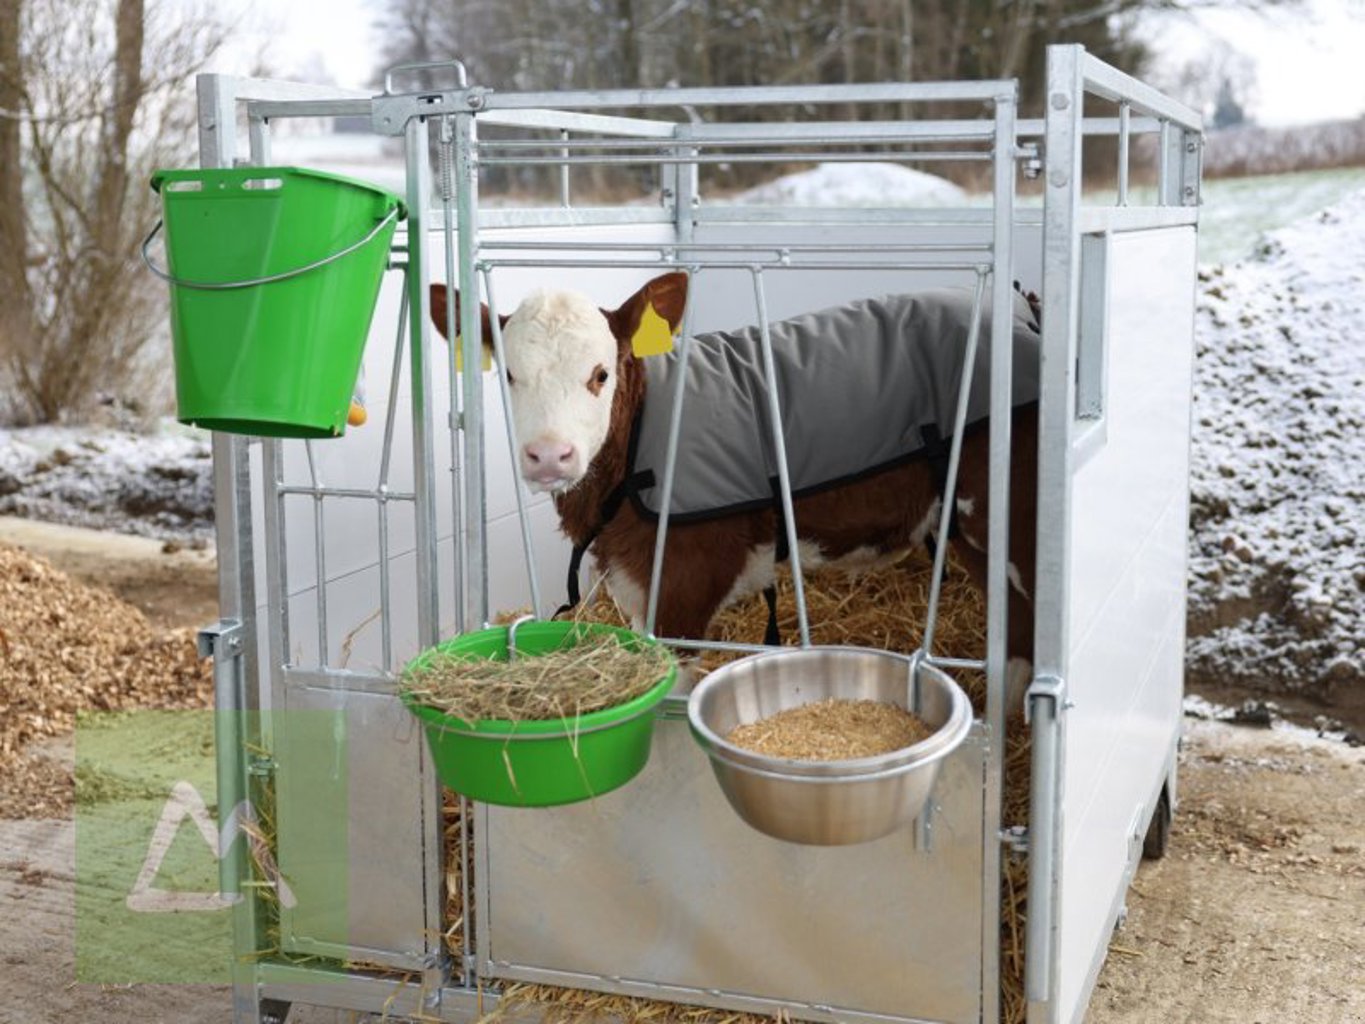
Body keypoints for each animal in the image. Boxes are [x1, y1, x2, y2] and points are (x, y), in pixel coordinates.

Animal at [430, 272, 1039, 706]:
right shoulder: (635, 579)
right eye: (509, 375)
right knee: (1015, 631)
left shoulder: (687, 579)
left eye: (601, 374)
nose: (550, 456)